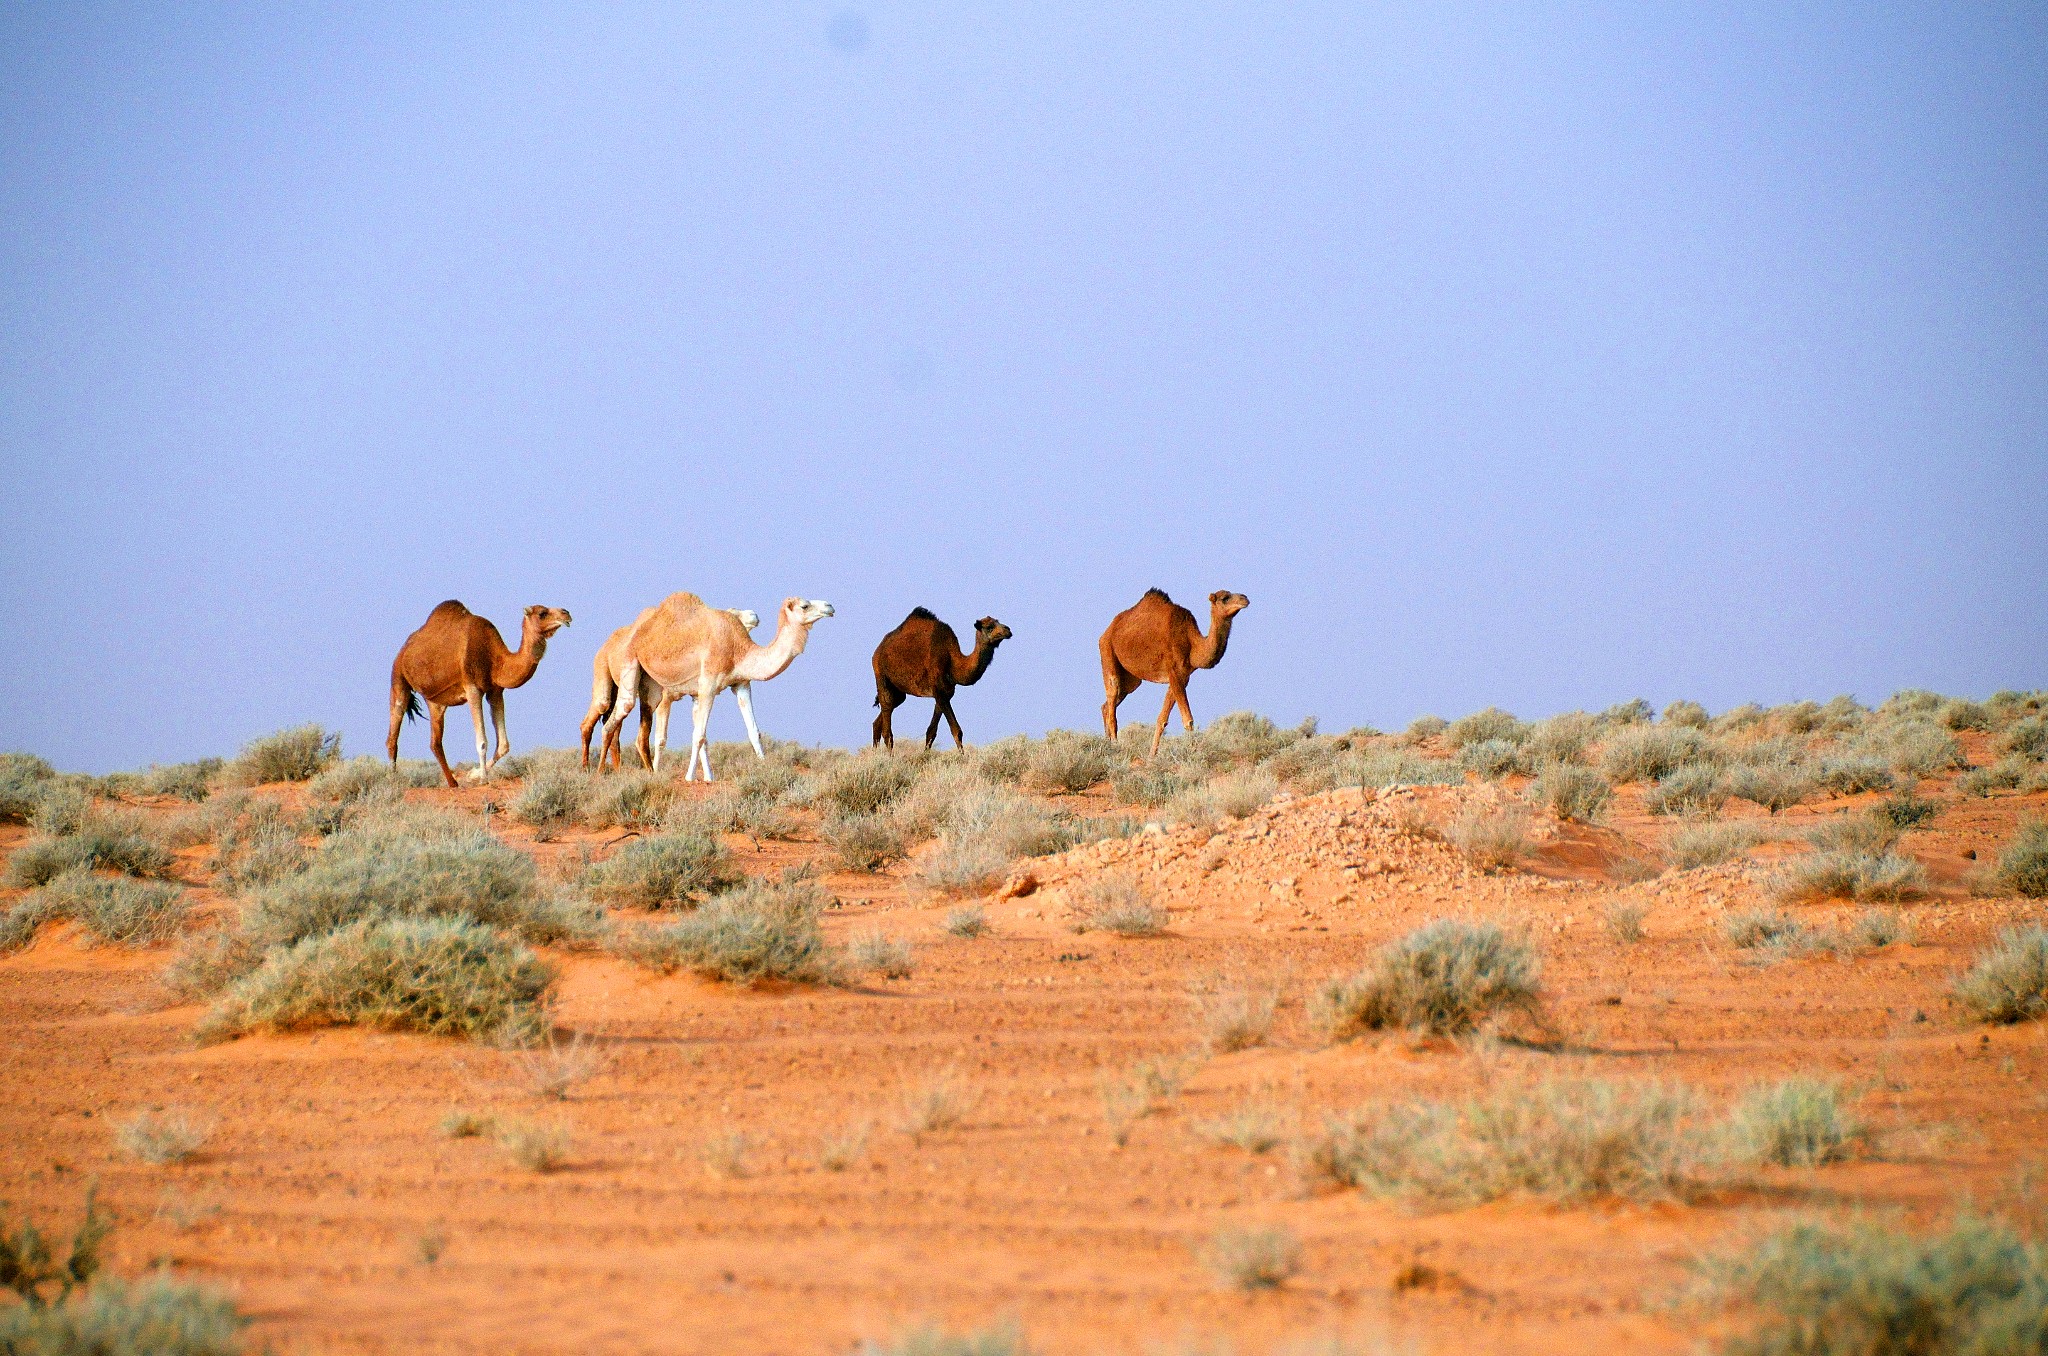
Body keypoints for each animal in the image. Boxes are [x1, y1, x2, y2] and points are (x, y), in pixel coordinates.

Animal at [385, 602, 573, 790]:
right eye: (542, 613)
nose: (566, 614)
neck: (495, 658)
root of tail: (404, 649)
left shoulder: (495, 691)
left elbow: (504, 745)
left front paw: (473, 773)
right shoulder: (472, 689)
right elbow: (482, 741)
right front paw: (483, 778)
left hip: (435, 701)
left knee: (435, 742)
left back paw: (453, 783)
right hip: (398, 677)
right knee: (394, 732)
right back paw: (393, 779)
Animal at [577, 606, 761, 770]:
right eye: (733, 614)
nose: (754, 615)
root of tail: (606, 644)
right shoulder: (665, 698)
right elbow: (660, 739)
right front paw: (656, 770)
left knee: (613, 725)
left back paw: (617, 771)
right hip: (602, 668)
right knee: (598, 711)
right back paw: (586, 768)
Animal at [598, 598, 831, 786]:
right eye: (805, 605)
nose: (830, 606)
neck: (738, 648)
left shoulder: (740, 684)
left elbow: (753, 731)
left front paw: (764, 767)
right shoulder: (708, 684)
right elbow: (698, 736)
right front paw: (690, 777)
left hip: (651, 686)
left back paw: (644, 772)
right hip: (630, 665)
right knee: (615, 717)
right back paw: (601, 772)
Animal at [872, 614, 1015, 753]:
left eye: (998, 621)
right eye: (989, 627)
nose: (1008, 630)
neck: (952, 662)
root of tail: (878, 649)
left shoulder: (946, 693)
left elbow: (931, 732)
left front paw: (926, 756)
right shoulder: (939, 691)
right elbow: (957, 731)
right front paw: (963, 757)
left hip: (899, 691)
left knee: (880, 719)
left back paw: (874, 754)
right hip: (881, 675)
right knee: (887, 722)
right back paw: (889, 757)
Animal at [1105, 585, 1245, 757]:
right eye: (1225, 598)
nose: (1245, 599)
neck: (1192, 643)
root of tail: (1107, 630)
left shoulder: (1183, 676)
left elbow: (1162, 718)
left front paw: (1152, 756)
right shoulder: (1174, 672)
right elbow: (1188, 719)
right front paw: (1194, 751)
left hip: (1131, 681)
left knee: (1106, 706)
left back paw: (1107, 743)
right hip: (1108, 652)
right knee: (1112, 698)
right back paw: (1115, 746)